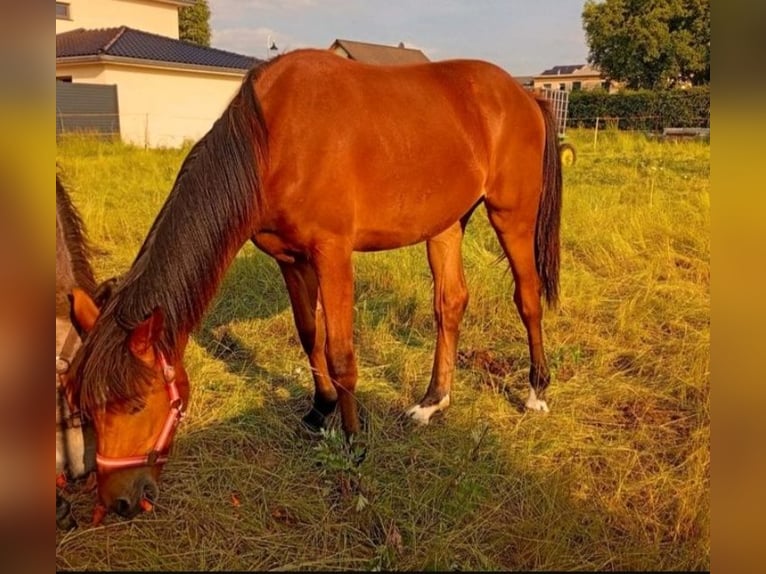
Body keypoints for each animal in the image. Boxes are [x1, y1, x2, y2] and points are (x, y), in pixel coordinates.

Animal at [67, 48, 562, 519]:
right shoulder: (291, 260)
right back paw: (432, 401)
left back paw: (537, 391)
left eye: (135, 404)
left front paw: (355, 444)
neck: (273, 138)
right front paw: (319, 410)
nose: (118, 501)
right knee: (450, 303)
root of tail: (524, 96)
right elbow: (310, 336)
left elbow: (341, 354)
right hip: (446, 223)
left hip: (512, 216)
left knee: (527, 297)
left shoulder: (333, 254)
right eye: (86, 406)